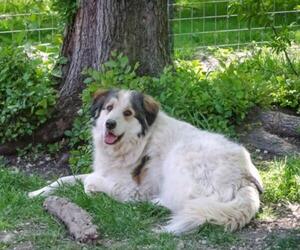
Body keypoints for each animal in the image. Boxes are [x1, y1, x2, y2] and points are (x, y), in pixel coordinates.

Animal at [28, 88, 262, 234]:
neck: (139, 141)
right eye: (108, 108)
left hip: (180, 158)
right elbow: (64, 178)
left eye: (128, 113)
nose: (109, 124)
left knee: (177, 202)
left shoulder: (132, 185)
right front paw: (34, 193)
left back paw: (146, 203)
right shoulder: (104, 170)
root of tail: (245, 178)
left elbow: (89, 181)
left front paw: (94, 191)